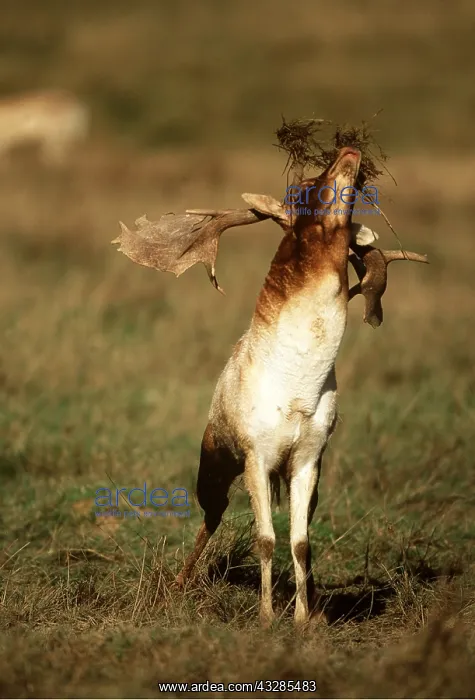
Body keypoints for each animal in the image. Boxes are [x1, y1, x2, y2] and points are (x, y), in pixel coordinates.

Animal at [113, 145, 428, 627]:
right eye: (303, 188)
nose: (348, 152)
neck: (296, 386)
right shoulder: (255, 457)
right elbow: (265, 539)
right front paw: (264, 616)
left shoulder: (308, 459)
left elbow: (300, 542)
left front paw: (303, 619)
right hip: (215, 468)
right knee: (211, 517)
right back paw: (180, 583)